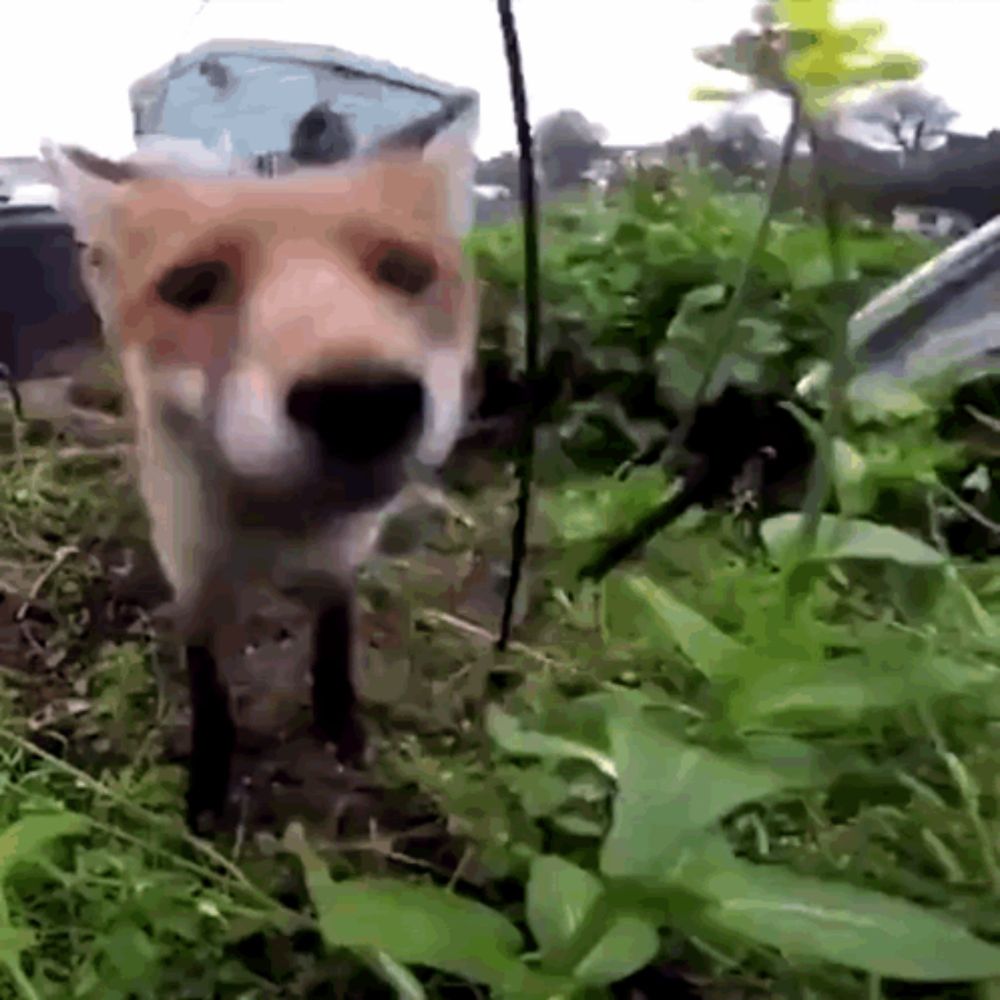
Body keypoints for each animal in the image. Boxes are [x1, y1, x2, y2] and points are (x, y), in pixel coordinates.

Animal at [45, 99, 482, 836]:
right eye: (194, 286)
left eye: (404, 271)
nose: (361, 403)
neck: (279, 527)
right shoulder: (195, 577)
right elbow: (211, 696)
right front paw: (208, 793)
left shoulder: (340, 563)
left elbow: (333, 649)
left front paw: (341, 732)